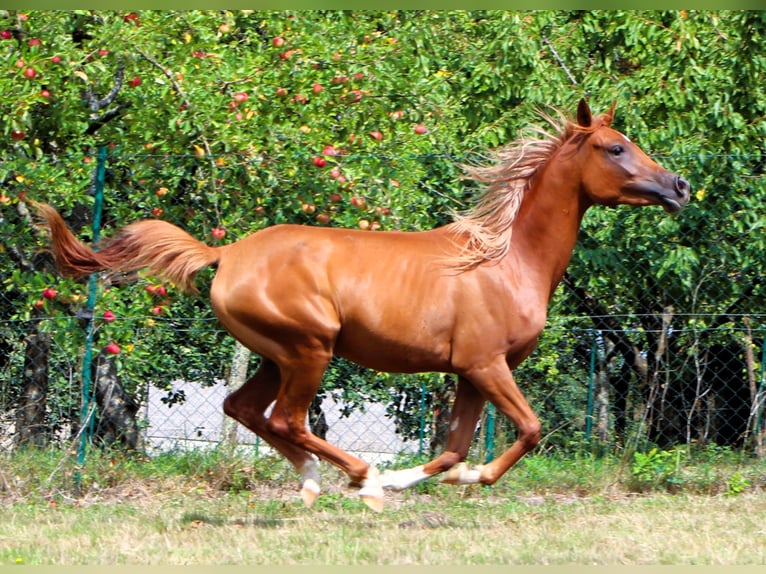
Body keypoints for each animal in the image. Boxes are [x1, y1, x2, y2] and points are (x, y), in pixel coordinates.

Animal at [32, 99, 690, 512]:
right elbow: (527, 430)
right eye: (614, 147)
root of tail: (227, 252)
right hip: (309, 349)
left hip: (276, 355)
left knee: (244, 409)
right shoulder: (485, 365)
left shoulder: (470, 372)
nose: (679, 187)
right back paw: (360, 479)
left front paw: (433, 477)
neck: (503, 261)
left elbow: (453, 447)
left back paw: (312, 482)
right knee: (286, 419)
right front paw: (435, 479)